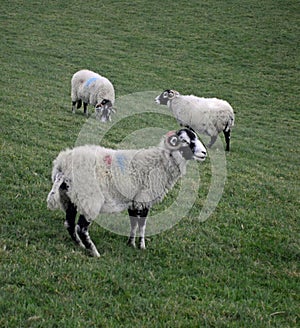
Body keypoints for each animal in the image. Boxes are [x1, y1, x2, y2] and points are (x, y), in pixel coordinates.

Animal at [47, 127, 206, 256]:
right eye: (184, 140)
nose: (204, 153)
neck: (161, 162)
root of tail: (62, 166)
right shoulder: (144, 198)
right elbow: (142, 225)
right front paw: (142, 246)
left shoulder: (134, 200)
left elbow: (133, 223)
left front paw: (131, 243)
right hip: (90, 199)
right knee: (81, 227)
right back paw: (94, 251)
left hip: (69, 196)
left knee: (69, 224)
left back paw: (80, 245)